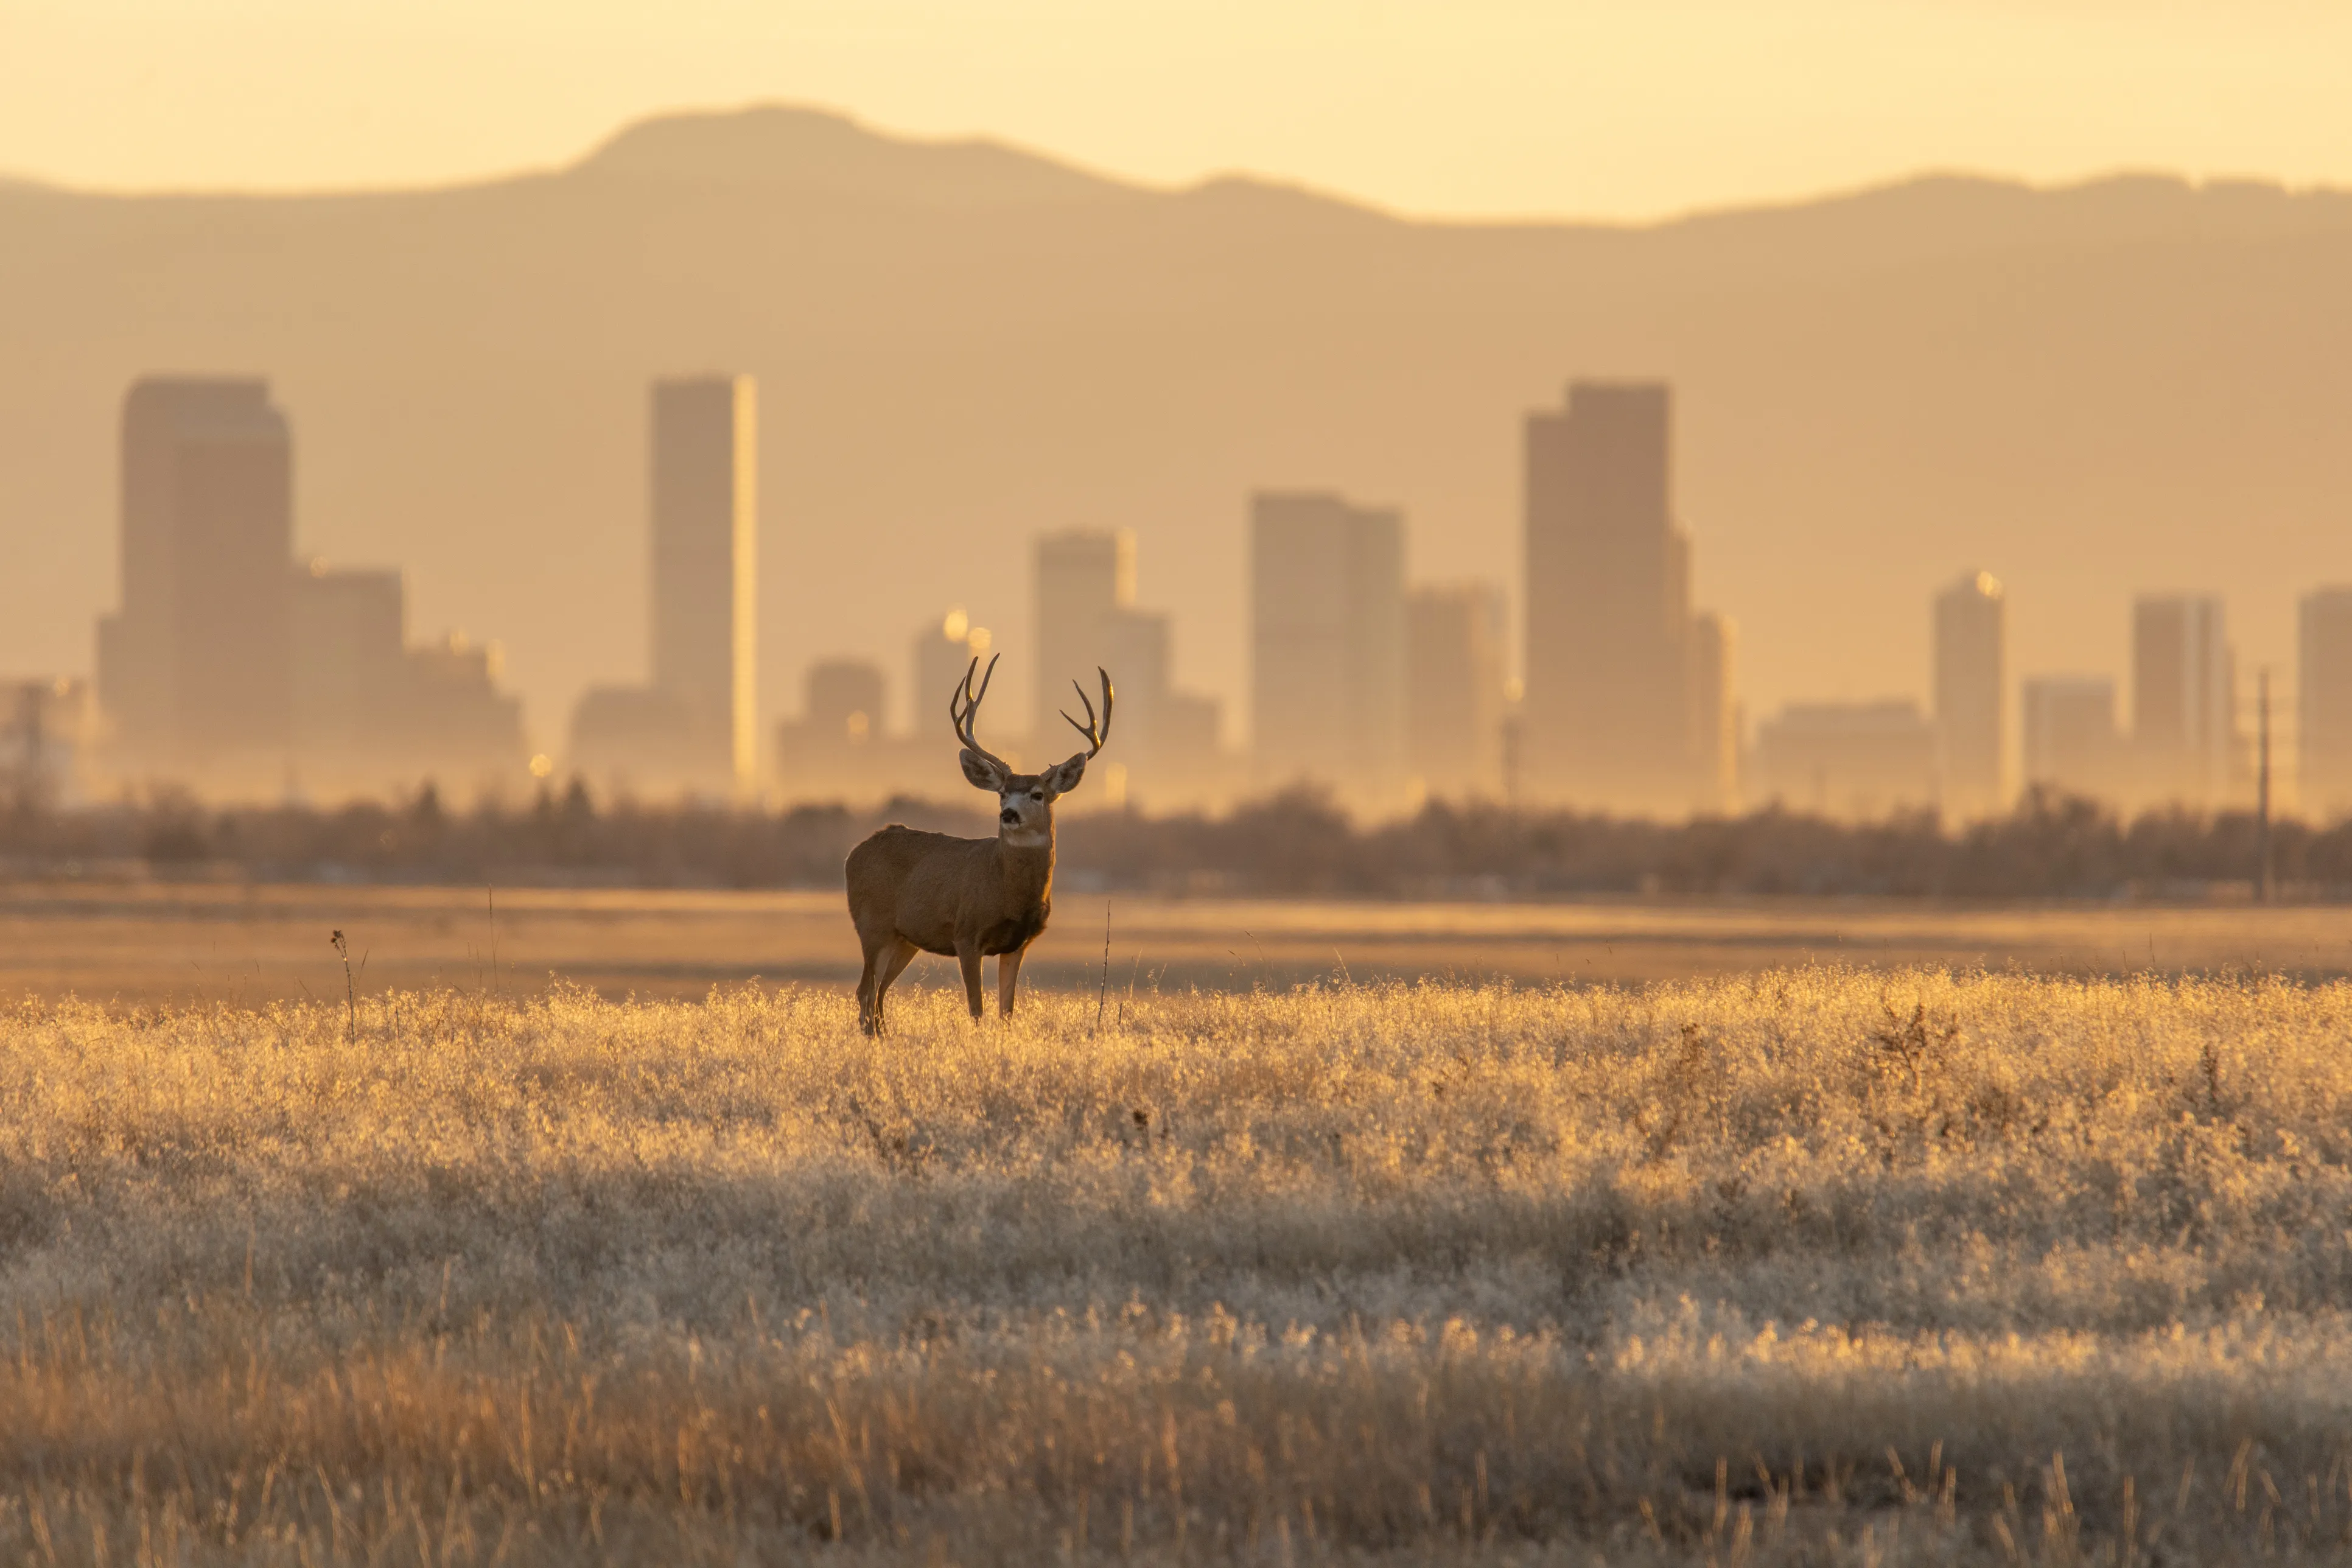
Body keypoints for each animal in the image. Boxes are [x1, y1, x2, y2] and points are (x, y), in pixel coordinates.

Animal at [845, 653, 1113, 1034]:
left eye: (1038, 794)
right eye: (1002, 792)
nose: (1009, 814)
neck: (1007, 891)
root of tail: (853, 854)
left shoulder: (1018, 943)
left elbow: (1006, 1011)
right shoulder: (966, 934)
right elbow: (977, 1008)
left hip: (905, 938)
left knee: (879, 991)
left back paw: (883, 1036)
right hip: (872, 924)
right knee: (865, 991)